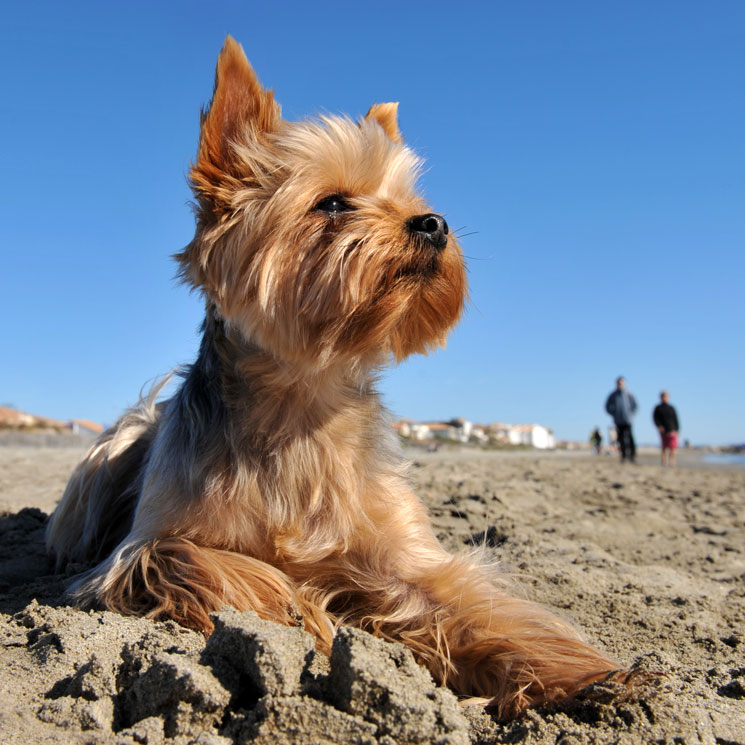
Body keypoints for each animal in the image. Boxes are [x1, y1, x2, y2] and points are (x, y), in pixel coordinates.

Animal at [46, 37, 628, 716]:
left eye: (412, 203)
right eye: (331, 203)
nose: (433, 223)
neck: (304, 400)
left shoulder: (404, 552)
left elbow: (470, 604)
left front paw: (582, 676)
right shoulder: (147, 547)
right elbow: (209, 564)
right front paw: (308, 612)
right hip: (117, 444)